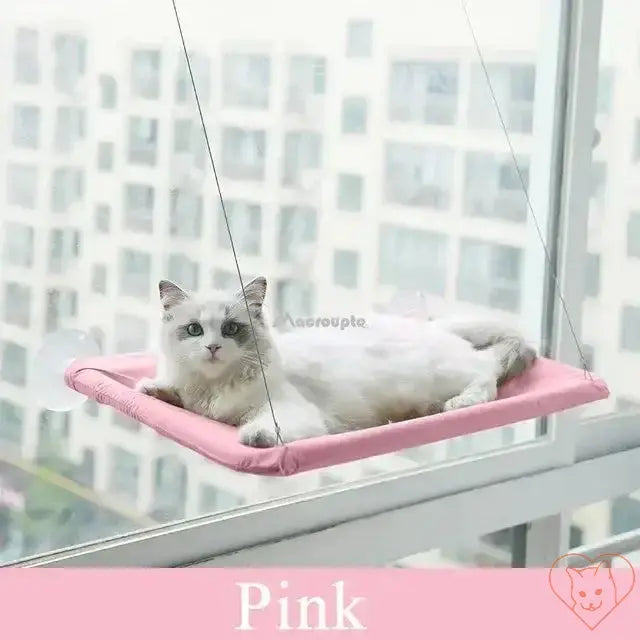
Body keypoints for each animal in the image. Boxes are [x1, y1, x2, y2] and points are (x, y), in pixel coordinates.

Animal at [138, 278, 536, 448]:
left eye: (231, 329)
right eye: (194, 329)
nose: (212, 348)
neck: (214, 387)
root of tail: (433, 326)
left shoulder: (289, 410)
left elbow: (265, 427)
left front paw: (253, 436)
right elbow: (170, 392)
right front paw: (152, 389)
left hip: (443, 375)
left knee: (487, 376)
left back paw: (460, 403)